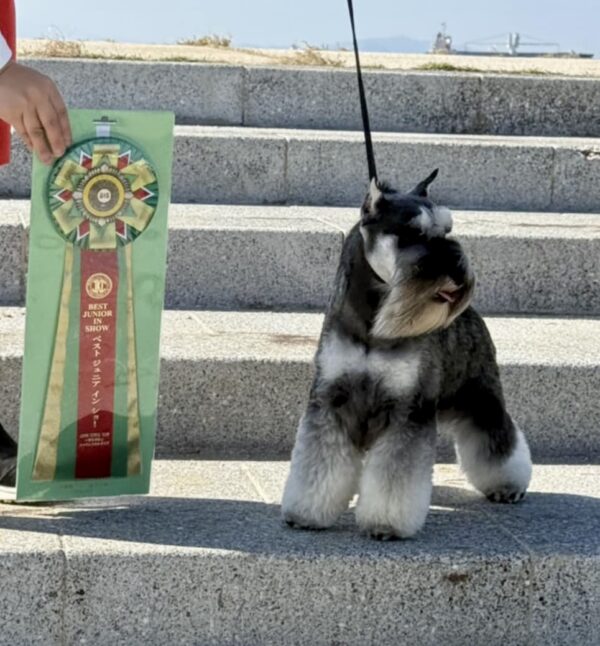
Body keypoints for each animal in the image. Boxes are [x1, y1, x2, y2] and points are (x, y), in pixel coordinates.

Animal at [284, 172, 532, 540]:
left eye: (447, 230)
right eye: (412, 232)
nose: (459, 271)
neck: (375, 320)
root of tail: (470, 312)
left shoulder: (408, 408)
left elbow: (395, 475)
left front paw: (386, 524)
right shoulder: (330, 400)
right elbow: (317, 463)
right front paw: (306, 513)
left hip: (480, 395)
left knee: (498, 437)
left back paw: (508, 485)